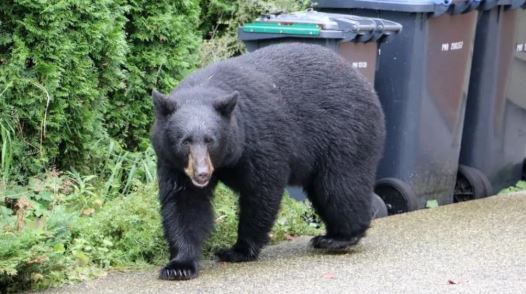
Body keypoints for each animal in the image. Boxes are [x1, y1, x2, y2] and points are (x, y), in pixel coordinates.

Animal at [151, 43, 386, 280]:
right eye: (185, 141)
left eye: (211, 140)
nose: (202, 174)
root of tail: (366, 84)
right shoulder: (173, 162)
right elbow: (185, 202)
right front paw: (179, 265)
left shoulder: (259, 139)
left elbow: (262, 190)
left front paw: (238, 250)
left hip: (345, 134)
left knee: (340, 187)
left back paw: (338, 238)